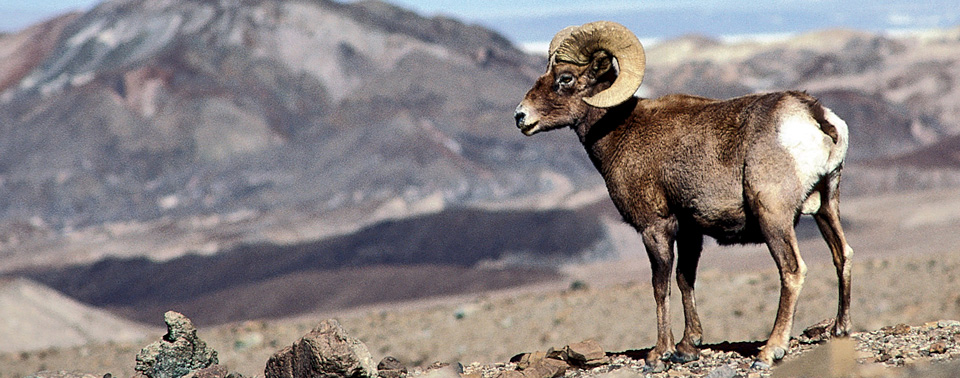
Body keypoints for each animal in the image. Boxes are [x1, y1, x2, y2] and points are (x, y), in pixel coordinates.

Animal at [512, 21, 852, 370]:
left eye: (565, 78)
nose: (521, 117)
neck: (618, 131)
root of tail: (815, 116)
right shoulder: (691, 230)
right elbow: (685, 279)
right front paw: (688, 347)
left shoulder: (656, 226)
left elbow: (660, 287)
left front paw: (659, 353)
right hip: (827, 205)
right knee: (843, 255)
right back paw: (840, 329)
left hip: (774, 217)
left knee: (792, 271)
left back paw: (770, 351)